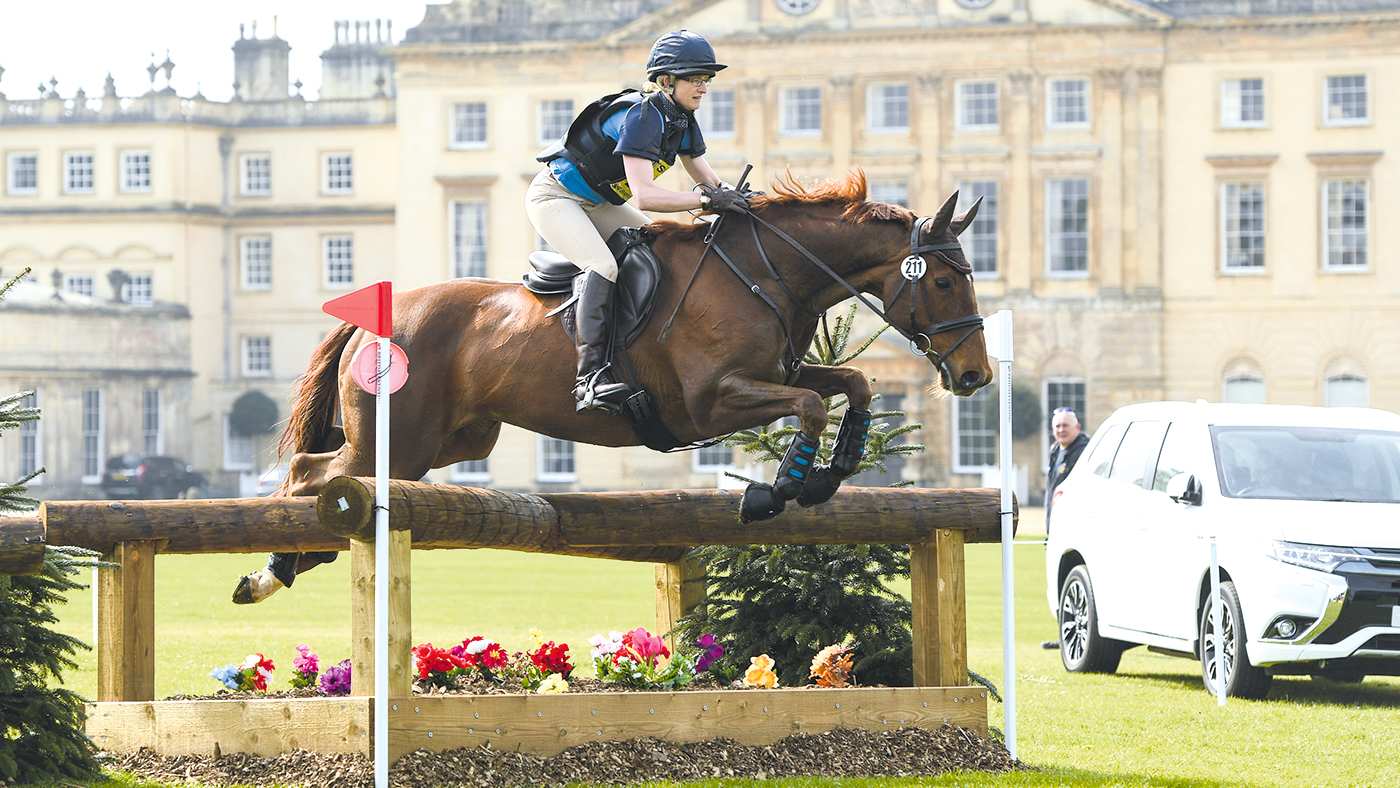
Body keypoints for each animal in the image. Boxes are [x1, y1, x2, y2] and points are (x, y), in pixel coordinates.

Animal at [232, 171, 996, 604]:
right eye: (945, 280)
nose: (975, 376)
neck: (765, 272)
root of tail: (376, 319)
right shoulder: (709, 402)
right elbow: (811, 404)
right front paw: (778, 489)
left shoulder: (773, 374)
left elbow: (853, 383)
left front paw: (833, 471)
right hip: (399, 439)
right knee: (312, 473)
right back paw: (269, 569)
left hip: (450, 443)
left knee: (327, 477)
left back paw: (285, 568)